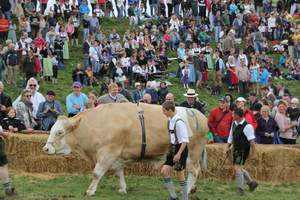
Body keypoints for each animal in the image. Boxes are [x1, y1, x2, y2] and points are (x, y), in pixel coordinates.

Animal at [42, 103, 207, 197]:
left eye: (60, 132)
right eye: (52, 129)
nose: (46, 148)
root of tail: (199, 115)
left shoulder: (107, 153)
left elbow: (97, 173)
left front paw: (90, 191)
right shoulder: (116, 157)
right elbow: (118, 172)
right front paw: (122, 189)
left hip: (192, 153)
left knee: (194, 171)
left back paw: (188, 189)